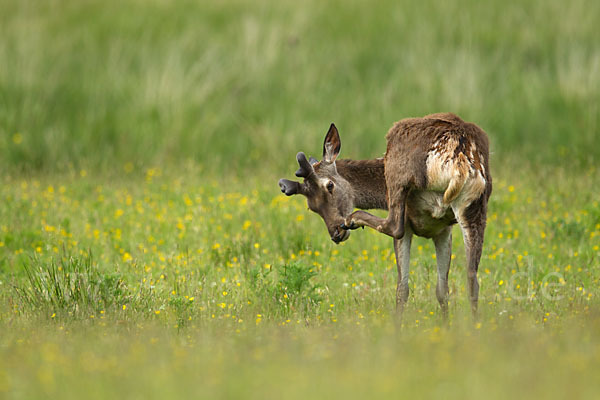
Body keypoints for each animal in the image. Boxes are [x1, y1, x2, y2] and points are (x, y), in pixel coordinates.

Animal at [278, 114, 492, 318]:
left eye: (329, 186)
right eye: (311, 207)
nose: (336, 233)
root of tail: (458, 160)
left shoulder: (414, 225)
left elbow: (403, 288)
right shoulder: (443, 230)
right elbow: (442, 290)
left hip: (398, 175)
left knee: (394, 226)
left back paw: (353, 219)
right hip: (475, 205)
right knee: (472, 279)